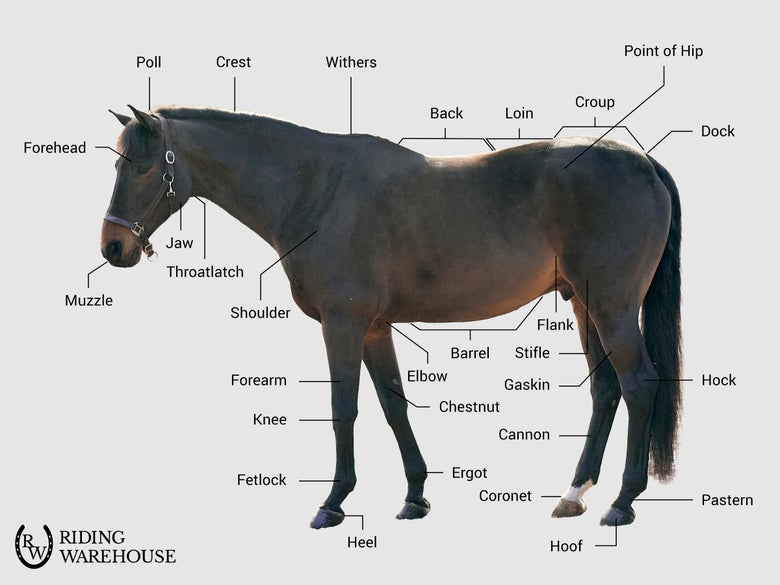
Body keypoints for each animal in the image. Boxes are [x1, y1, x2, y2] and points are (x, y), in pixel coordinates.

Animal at [101, 105, 682, 529]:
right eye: (117, 161)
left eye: (143, 165)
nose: (112, 247)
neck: (315, 189)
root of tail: (643, 163)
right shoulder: (375, 328)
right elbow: (393, 405)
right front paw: (415, 496)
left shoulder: (342, 323)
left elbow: (344, 408)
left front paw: (332, 503)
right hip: (584, 305)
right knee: (605, 389)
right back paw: (574, 494)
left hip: (610, 307)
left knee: (638, 385)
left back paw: (622, 502)